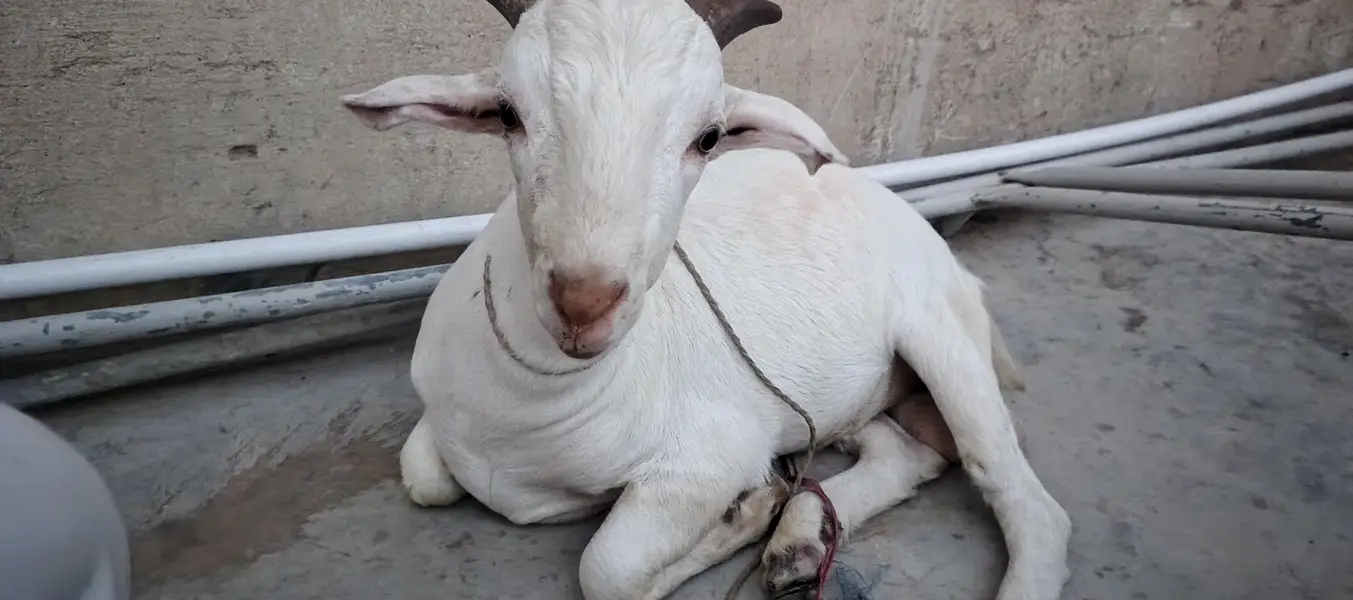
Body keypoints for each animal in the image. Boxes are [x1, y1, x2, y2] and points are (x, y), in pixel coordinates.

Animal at [340, 1, 1071, 598]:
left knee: (1024, 498)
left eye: (709, 137)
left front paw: (747, 510)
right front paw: (767, 511)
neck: (532, 406)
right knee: (907, 451)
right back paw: (802, 538)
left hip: (942, 339)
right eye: (508, 114)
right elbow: (422, 475)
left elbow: (607, 570)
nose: (585, 303)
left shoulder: (707, 457)